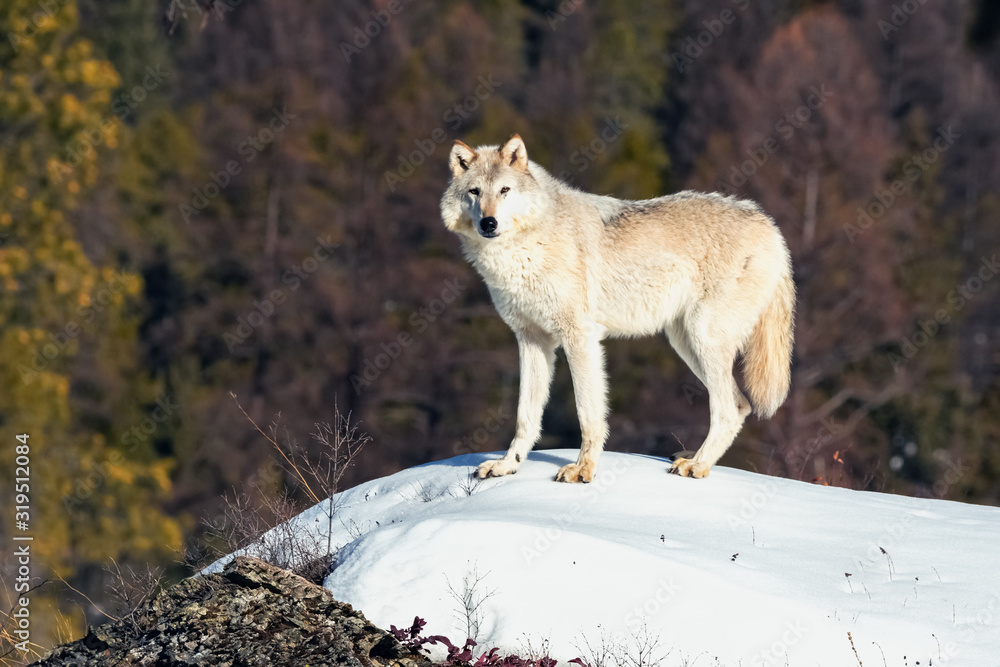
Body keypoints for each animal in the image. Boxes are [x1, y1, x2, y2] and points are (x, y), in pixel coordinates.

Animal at [440, 134, 795, 482]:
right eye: (474, 191)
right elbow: (525, 415)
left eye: (504, 190)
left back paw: (697, 465)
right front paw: (507, 465)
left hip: (702, 338)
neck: (524, 248)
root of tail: (769, 225)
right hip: (684, 343)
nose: (488, 223)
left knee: (729, 408)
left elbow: (588, 413)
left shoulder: (580, 338)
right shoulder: (532, 339)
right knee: (741, 404)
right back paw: (693, 456)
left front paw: (583, 470)